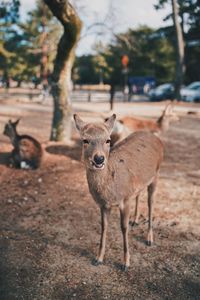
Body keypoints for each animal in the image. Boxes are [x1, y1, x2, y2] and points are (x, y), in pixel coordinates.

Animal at [74, 113, 163, 270]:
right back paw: (135, 220)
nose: (99, 158)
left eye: (108, 140)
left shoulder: (125, 199)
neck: (110, 192)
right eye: (85, 140)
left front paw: (126, 263)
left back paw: (149, 239)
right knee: (139, 194)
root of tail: (158, 139)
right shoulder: (103, 205)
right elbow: (104, 227)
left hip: (156, 175)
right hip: (140, 182)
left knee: (151, 203)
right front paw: (98, 258)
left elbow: (123, 228)